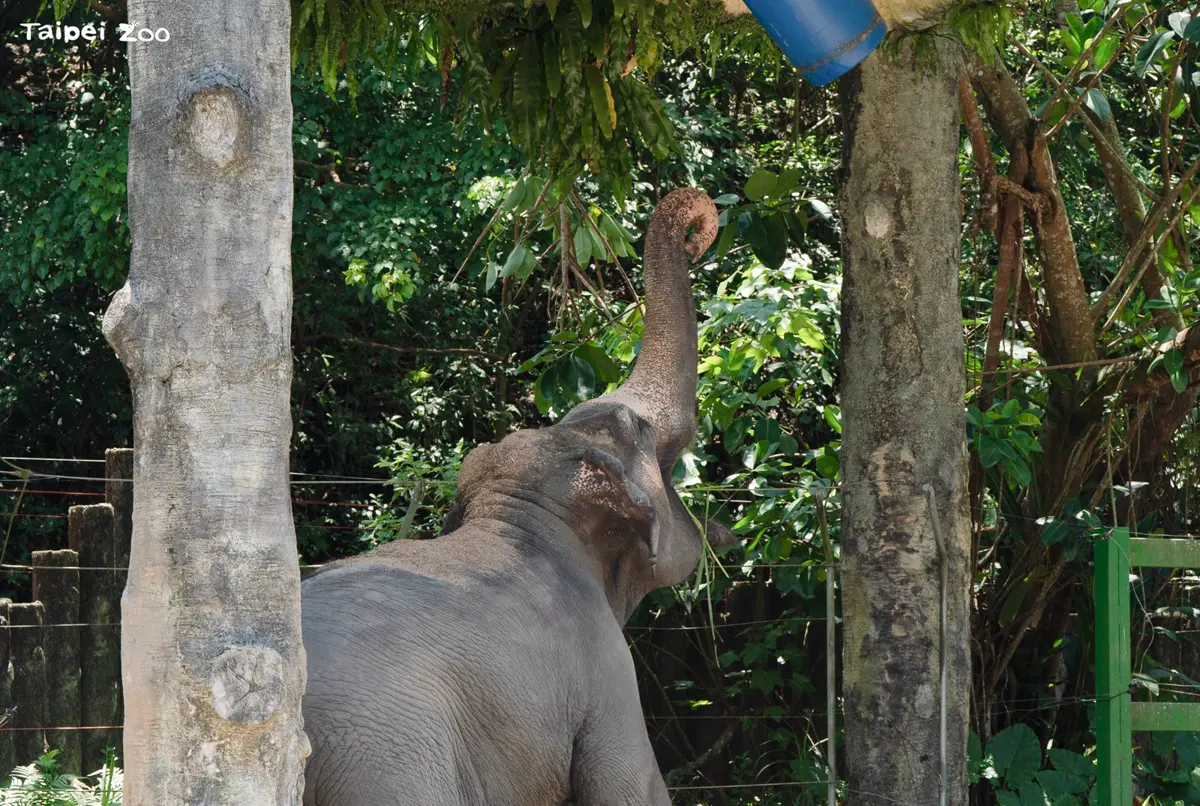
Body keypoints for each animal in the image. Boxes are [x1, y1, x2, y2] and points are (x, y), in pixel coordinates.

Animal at [300, 187, 730, 806]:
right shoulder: (606, 675)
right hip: (388, 761)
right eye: (640, 430)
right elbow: (628, 787)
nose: (698, 231)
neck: (522, 517)